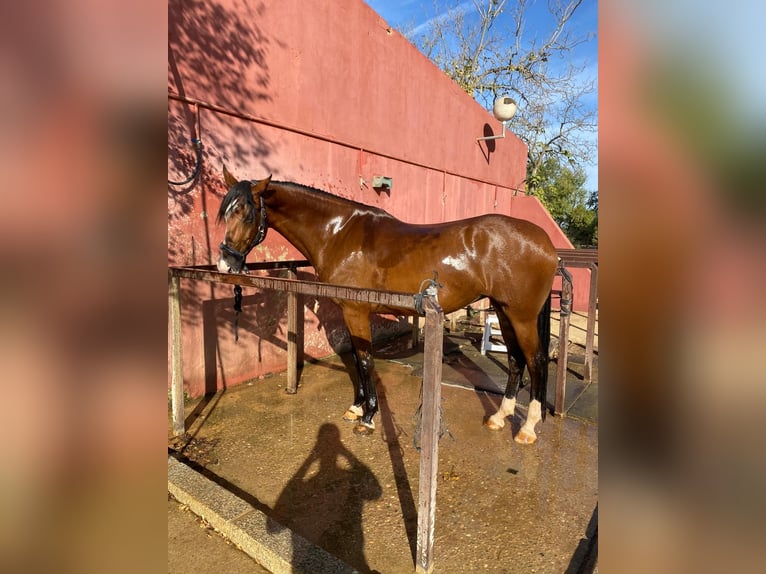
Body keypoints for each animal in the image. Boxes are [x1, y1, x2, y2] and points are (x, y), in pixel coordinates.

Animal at [216, 167, 558, 444]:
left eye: (247, 215)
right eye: (226, 213)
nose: (224, 263)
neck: (338, 234)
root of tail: (546, 244)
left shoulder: (356, 312)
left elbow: (366, 361)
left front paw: (368, 418)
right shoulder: (349, 312)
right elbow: (356, 359)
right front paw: (356, 408)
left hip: (521, 316)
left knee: (536, 360)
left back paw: (527, 428)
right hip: (503, 310)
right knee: (515, 359)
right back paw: (500, 417)